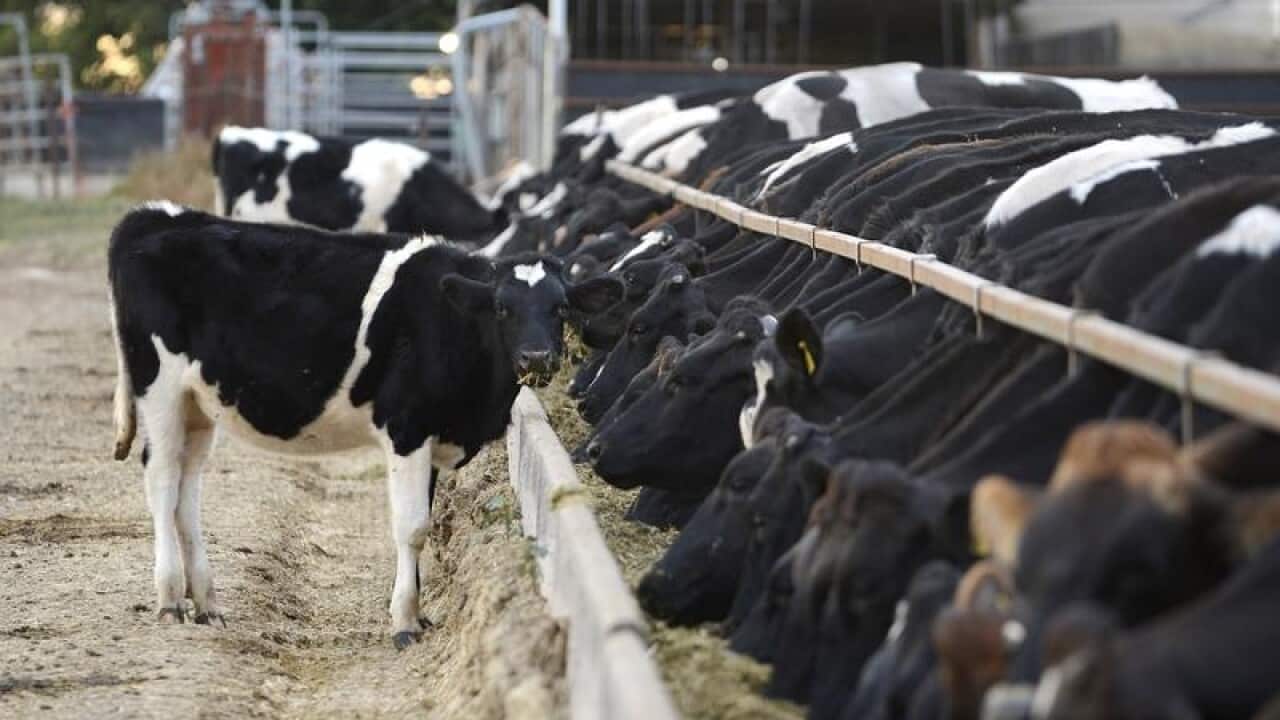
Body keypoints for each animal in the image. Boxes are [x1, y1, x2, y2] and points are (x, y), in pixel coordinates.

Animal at [107, 203, 622, 647]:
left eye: (560, 308)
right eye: (502, 307)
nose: (537, 358)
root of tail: (156, 215)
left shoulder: (431, 435)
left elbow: (426, 517)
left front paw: (421, 614)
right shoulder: (407, 427)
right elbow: (413, 527)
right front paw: (404, 622)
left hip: (198, 402)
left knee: (186, 488)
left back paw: (206, 603)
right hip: (160, 384)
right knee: (161, 476)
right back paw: (170, 600)